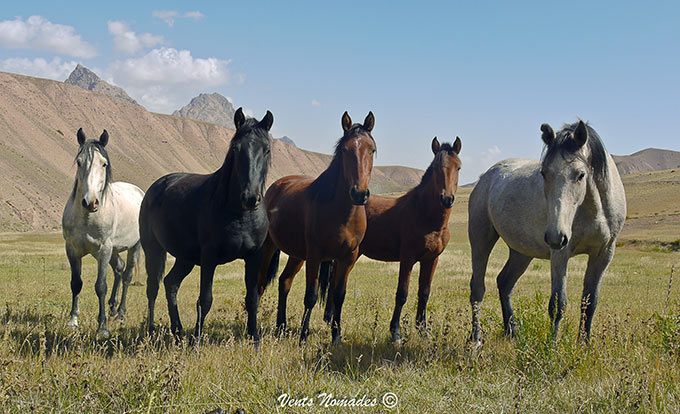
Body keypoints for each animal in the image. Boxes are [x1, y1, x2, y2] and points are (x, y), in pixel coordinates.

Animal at [62, 129, 145, 340]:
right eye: (79, 162)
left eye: (104, 163)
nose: (90, 202)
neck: (87, 218)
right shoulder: (72, 249)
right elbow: (76, 283)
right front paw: (73, 321)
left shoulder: (104, 249)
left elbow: (100, 286)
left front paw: (102, 327)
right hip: (113, 250)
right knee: (119, 268)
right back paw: (113, 308)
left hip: (133, 247)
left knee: (127, 275)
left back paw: (121, 314)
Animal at [139, 106, 278, 342]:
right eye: (236, 149)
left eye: (266, 150)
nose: (250, 198)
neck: (239, 214)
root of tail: (156, 187)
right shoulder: (209, 257)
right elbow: (205, 300)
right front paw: (196, 341)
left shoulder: (254, 256)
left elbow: (252, 299)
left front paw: (255, 340)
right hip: (153, 250)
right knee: (153, 288)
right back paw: (151, 330)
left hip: (185, 258)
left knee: (171, 283)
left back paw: (178, 330)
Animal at [258, 111, 378, 344]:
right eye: (345, 150)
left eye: (372, 150)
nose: (359, 194)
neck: (341, 212)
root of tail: (275, 187)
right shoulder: (315, 255)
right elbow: (311, 296)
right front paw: (303, 337)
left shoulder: (348, 257)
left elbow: (338, 295)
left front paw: (336, 337)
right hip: (269, 247)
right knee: (258, 285)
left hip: (296, 254)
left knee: (284, 282)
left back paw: (281, 326)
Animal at [320, 136, 462, 342]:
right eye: (436, 168)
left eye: (458, 167)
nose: (447, 199)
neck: (426, 216)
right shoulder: (407, 259)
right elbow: (402, 294)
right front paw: (395, 332)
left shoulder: (431, 260)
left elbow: (424, 293)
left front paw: (422, 329)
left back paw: (330, 319)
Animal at [468, 120, 628, 346]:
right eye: (544, 173)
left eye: (580, 174)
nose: (555, 236)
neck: (593, 210)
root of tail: (485, 177)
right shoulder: (561, 253)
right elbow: (558, 304)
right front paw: (551, 347)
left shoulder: (603, 254)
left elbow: (590, 302)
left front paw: (584, 345)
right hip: (481, 239)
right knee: (477, 289)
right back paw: (476, 338)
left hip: (521, 253)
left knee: (505, 283)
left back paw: (511, 332)